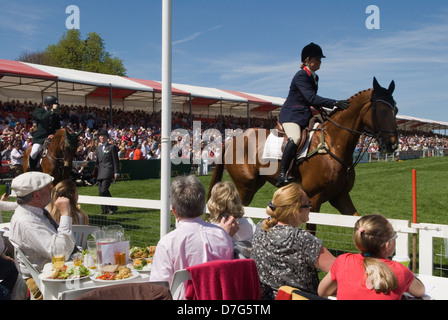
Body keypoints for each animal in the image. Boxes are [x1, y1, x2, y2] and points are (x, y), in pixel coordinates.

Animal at [209, 77, 400, 222]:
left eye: (396, 110)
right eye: (382, 111)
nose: (393, 145)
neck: (333, 144)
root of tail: (231, 141)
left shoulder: (341, 197)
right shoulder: (314, 200)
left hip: (256, 183)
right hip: (245, 186)